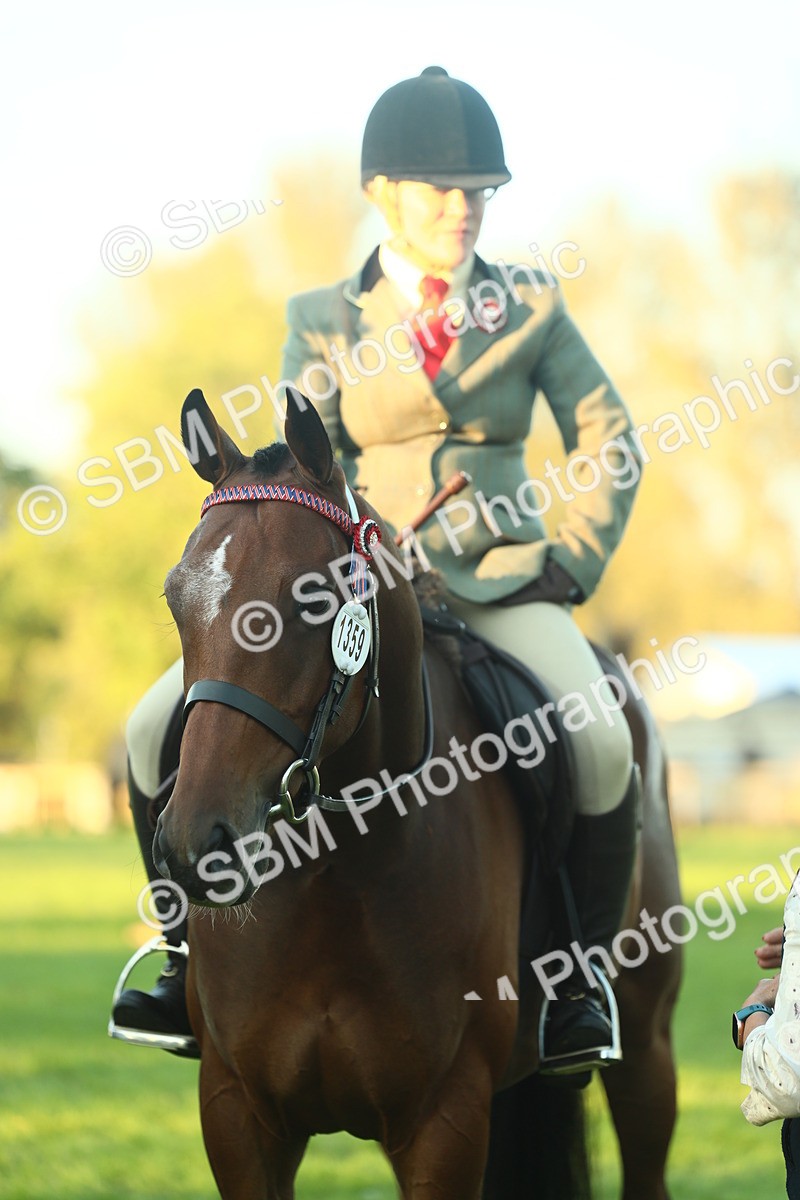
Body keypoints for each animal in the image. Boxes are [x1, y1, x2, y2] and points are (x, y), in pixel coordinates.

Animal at [151, 386, 682, 1199]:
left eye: (310, 601)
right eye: (178, 599)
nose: (193, 847)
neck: (334, 877)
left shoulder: (444, 1121)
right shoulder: (238, 1113)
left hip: (648, 1053)